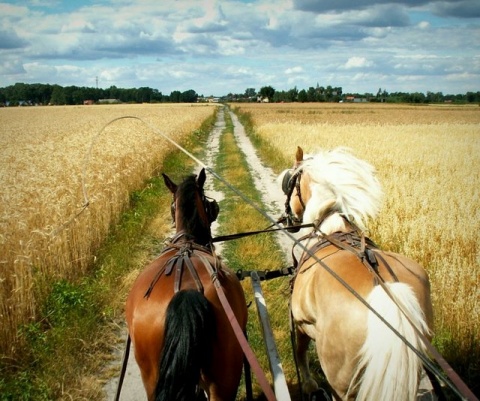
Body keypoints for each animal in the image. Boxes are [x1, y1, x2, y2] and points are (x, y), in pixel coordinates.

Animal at [280, 147, 434, 400]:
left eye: (288, 183)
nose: (286, 221)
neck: (331, 228)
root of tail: (385, 290)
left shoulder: (300, 321)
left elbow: (300, 352)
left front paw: (310, 385)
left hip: (340, 380)